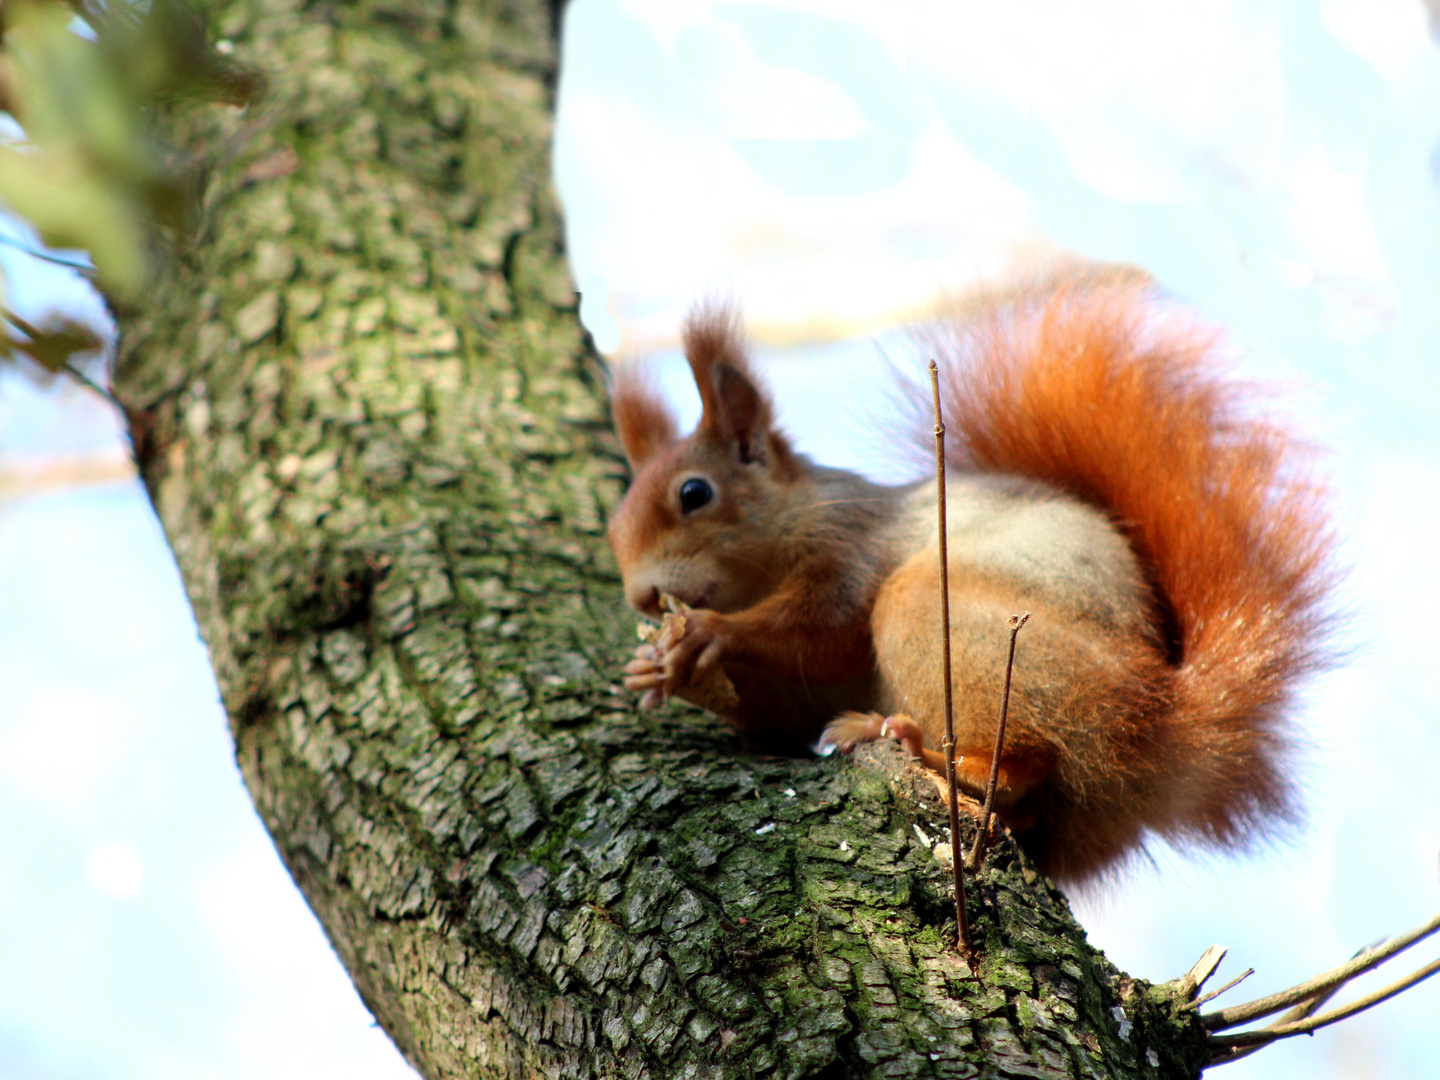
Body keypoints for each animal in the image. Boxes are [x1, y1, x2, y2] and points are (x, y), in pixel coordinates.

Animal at [601, 275, 1330, 881]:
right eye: (612, 526)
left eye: (695, 493)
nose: (641, 595)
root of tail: (1163, 718)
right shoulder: (793, 694)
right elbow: (778, 719)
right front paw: (662, 671)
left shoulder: (851, 546)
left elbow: (824, 627)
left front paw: (704, 633)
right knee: (1031, 809)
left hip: (951, 622)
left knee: (1019, 768)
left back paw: (917, 745)